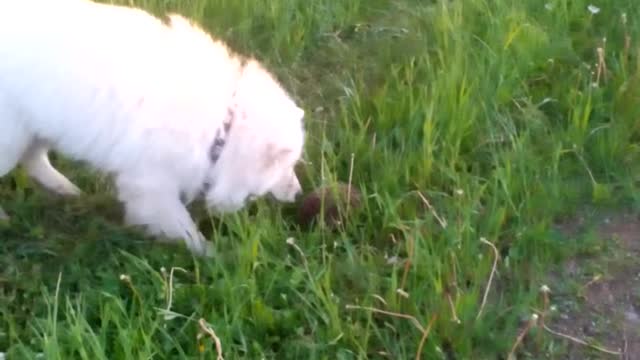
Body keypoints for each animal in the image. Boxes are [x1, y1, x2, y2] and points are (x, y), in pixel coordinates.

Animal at [0, 0, 308, 256]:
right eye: (286, 167)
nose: (299, 194)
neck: (223, 125)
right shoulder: (151, 182)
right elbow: (180, 223)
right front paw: (209, 253)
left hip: (39, 125)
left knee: (34, 159)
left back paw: (65, 188)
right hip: (13, 135)